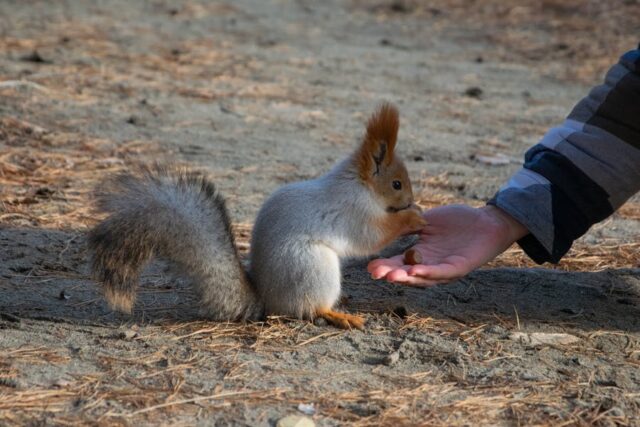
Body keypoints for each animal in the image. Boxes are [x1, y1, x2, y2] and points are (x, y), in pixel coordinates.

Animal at [86, 102, 424, 330]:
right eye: (396, 184)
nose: (411, 200)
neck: (358, 183)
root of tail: (267, 299)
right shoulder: (354, 211)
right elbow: (373, 236)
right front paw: (413, 218)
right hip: (312, 267)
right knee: (309, 308)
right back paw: (338, 315)